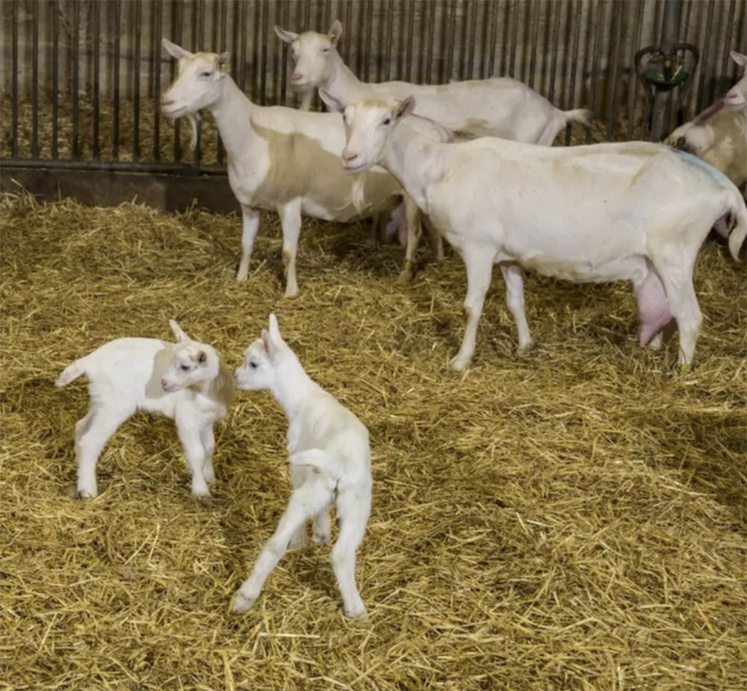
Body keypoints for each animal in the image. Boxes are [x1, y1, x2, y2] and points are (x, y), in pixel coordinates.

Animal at [161, 39, 412, 296]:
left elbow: (288, 253)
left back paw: (404, 274)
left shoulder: (290, 202)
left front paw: (291, 292)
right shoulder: (249, 205)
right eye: (178, 70)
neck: (252, 139)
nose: (166, 101)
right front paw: (240, 279)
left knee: (414, 236)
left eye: (206, 73)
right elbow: (246, 245)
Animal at [324, 96, 747, 374]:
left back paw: (681, 375)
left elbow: (471, 306)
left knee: (690, 317)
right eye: (344, 116)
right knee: (669, 311)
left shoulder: (479, 247)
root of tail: (723, 186)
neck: (440, 166)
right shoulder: (509, 254)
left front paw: (461, 360)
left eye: (387, 120)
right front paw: (525, 345)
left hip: (675, 250)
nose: (350, 158)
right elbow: (515, 302)